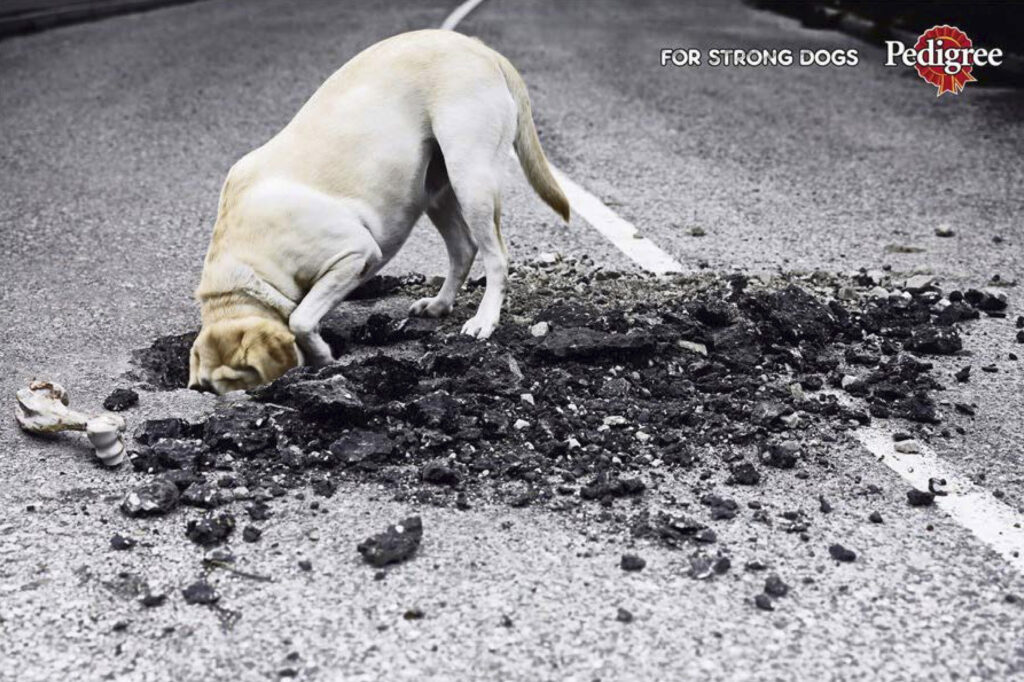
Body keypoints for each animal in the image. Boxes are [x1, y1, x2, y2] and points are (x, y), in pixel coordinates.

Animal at [185, 30, 569, 393]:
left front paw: (322, 356)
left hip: (471, 178)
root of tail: (478, 46)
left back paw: (484, 319)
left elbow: (300, 319)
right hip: (436, 190)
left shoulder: (354, 253)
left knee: (496, 257)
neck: (244, 272)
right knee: (463, 249)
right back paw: (439, 305)